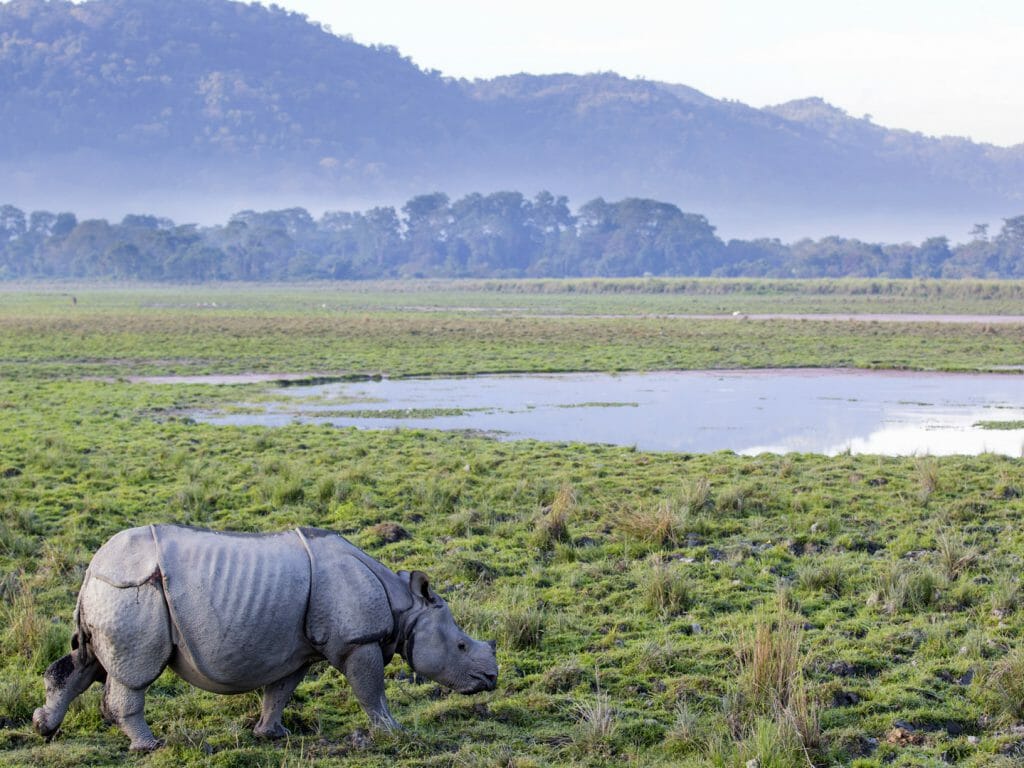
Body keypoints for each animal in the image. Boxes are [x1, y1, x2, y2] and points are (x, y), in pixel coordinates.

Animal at [33, 524, 498, 751]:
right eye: (461, 647)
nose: (491, 679)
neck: (405, 606)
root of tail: (92, 567)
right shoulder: (358, 641)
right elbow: (371, 691)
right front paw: (393, 731)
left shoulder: (298, 650)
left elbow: (280, 691)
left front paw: (272, 735)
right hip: (134, 591)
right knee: (134, 673)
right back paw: (149, 746)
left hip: (111, 592)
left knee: (87, 663)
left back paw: (44, 727)